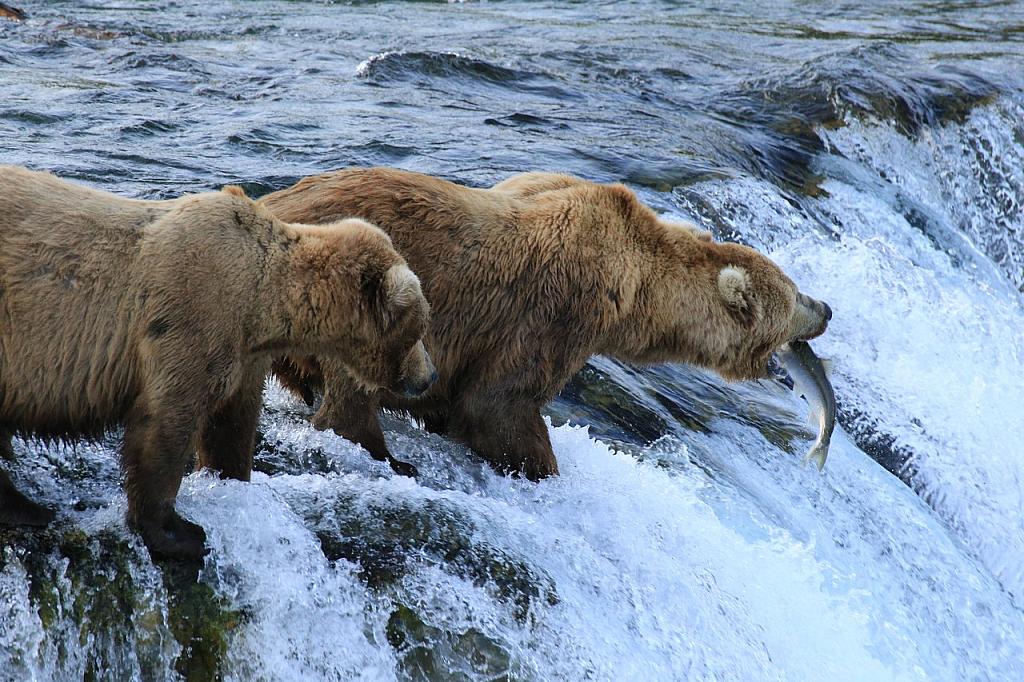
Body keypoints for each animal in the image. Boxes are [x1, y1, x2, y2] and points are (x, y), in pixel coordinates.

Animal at [0, 164, 434, 557]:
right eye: (417, 328)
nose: (428, 376)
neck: (263, 299)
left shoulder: (244, 353)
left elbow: (231, 424)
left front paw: (231, 479)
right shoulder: (190, 318)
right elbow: (166, 424)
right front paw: (178, 532)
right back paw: (28, 509)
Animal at [264, 167, 831, 481]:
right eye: (793, 296)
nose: (825, 309)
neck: (633, 287)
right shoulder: (555, 308)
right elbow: (498, 402)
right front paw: (539, 465)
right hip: (353, 294)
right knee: (354, 384)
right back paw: (388, 455)